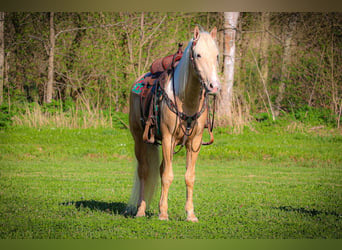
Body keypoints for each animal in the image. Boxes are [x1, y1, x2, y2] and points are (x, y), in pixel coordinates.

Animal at [127, 25, 220, 221]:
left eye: (216, 55)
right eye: (198, 55)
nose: (214, 86)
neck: (186, 99)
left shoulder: (195, 142)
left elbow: (189, 177)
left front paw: (190, 214)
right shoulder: (168, 138)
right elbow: (168, 176)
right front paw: (163, 213)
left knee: (160, 168)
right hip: (139, 139)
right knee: (144, 172)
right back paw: (140, 210)